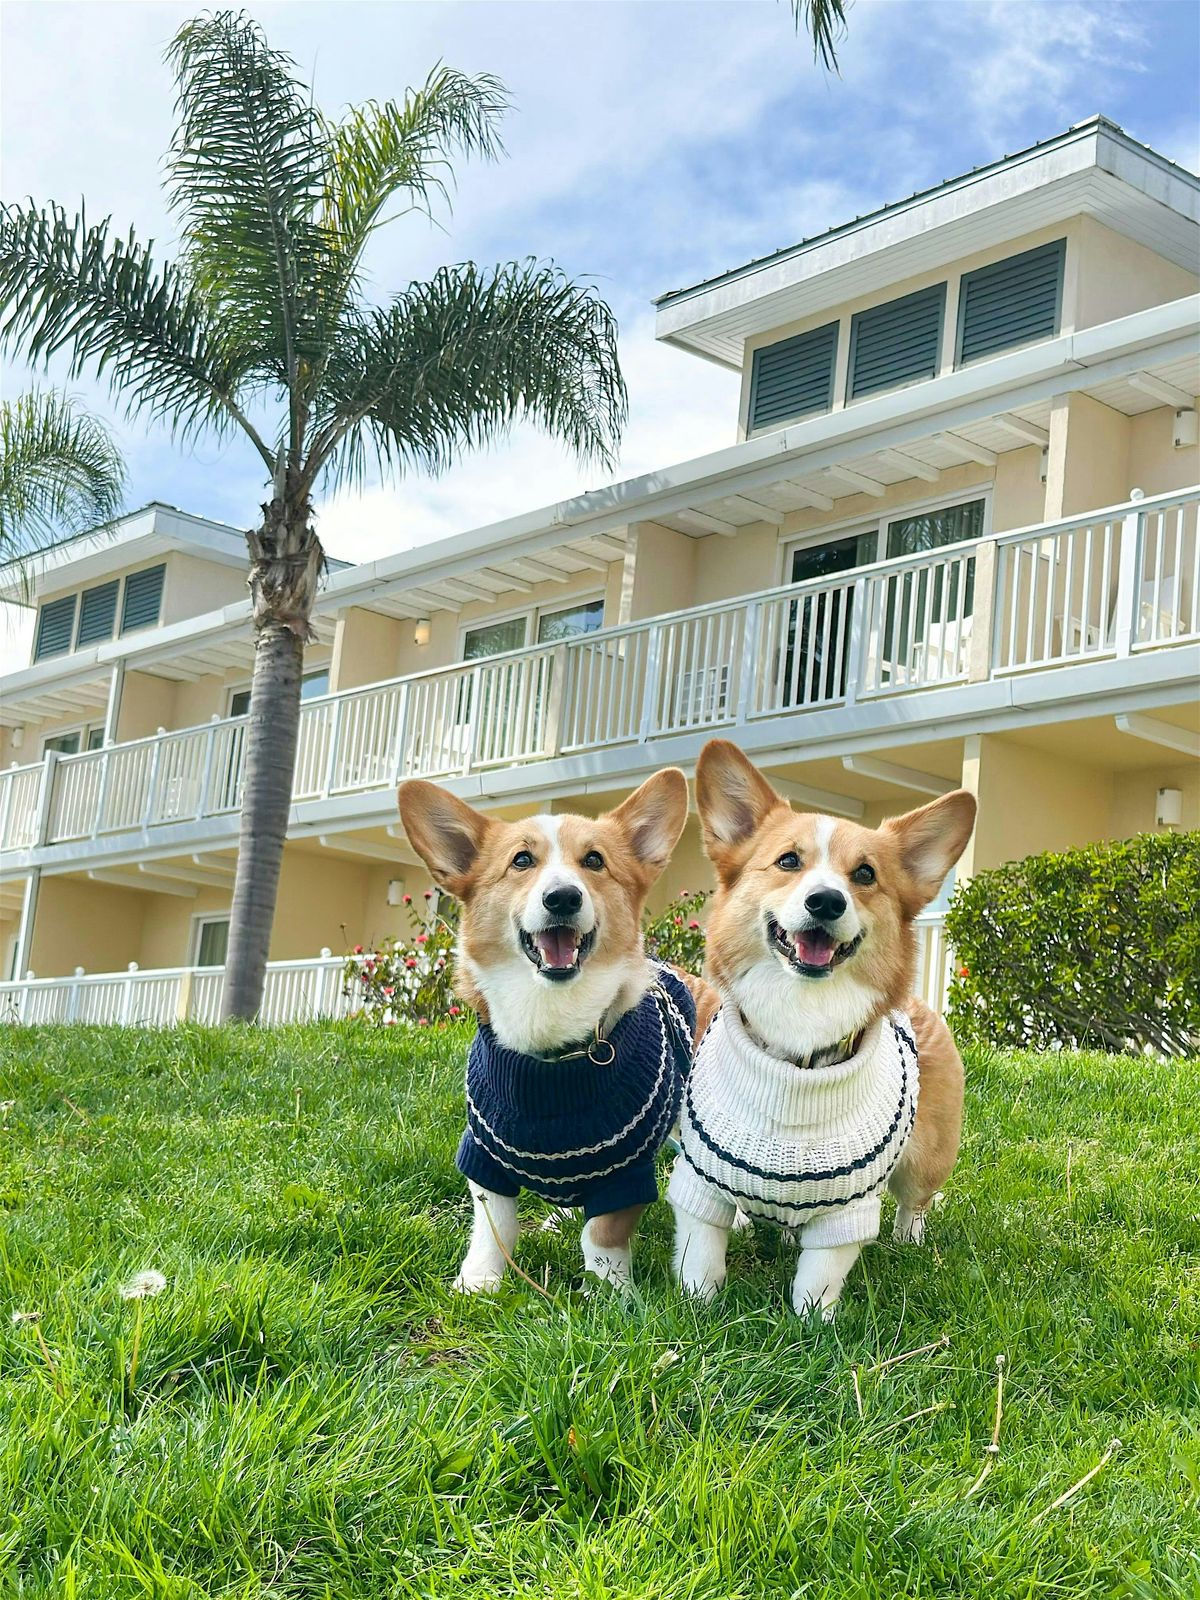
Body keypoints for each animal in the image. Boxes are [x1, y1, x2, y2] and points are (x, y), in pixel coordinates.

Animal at [396, 768, 694, 1292]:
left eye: (594, 860)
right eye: (521, 861)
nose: (563, 897)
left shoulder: (626, 1174)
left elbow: (603, 1234)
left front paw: (610, 1293)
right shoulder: (484, 1159)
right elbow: (494, 1226)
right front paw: (477, 1284)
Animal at [672, 742, 979, 1318]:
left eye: (865, 875)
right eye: (788, 861)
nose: (827, 901)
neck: (801, 1021)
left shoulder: (847, 1209)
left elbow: (820, 1274)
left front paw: (814, 1322)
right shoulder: (699, 1183)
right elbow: (700, 1253)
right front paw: (696, 1308)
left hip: (925, 1157)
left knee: (915, 1202)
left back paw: (908, 1242)